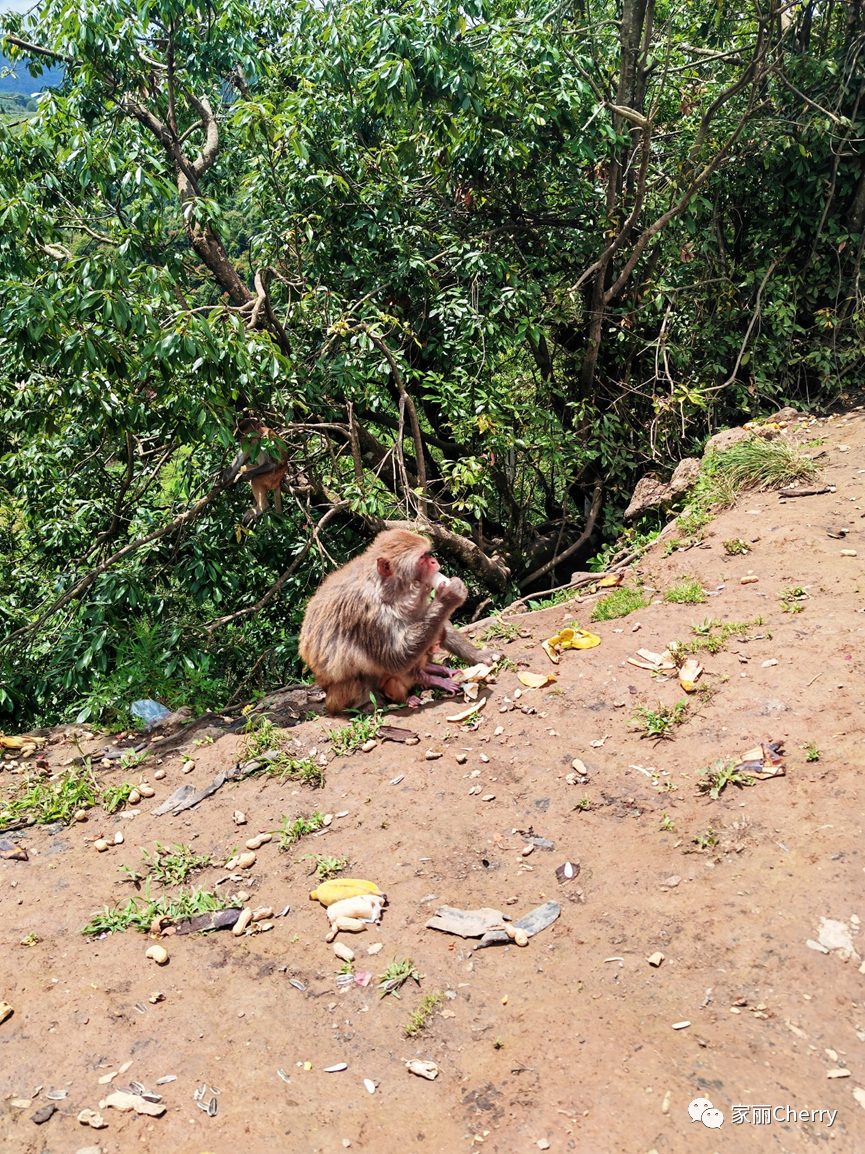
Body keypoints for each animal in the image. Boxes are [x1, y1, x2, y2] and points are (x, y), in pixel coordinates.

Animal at [297, 528, 500, 710]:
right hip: (338, 695)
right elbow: (395, 657)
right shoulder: (366, 611)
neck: (390, 591)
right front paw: (449, 595)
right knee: (363, 670)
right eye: (421, 558)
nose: (434, 561)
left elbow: (437, 626)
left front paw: (478, 655)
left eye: (427, 554)